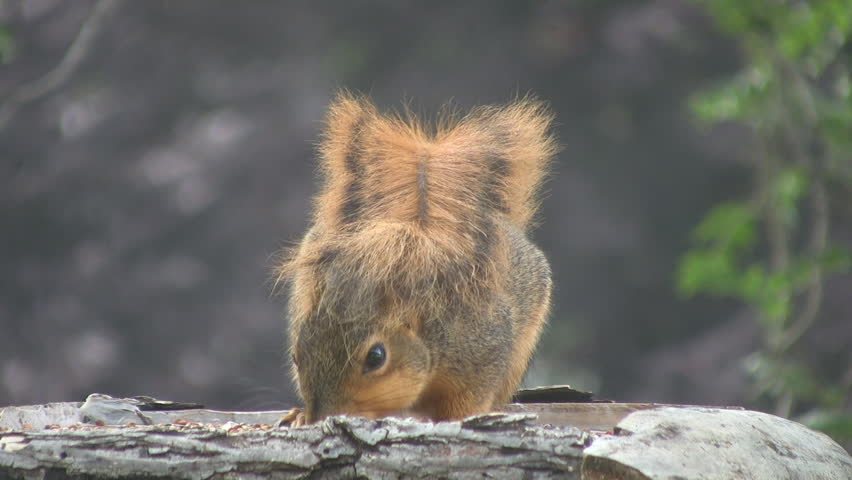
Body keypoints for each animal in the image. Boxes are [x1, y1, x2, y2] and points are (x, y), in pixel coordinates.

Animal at [276, 92, 557, 425]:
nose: (320, 417)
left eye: (376, 357)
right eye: (296, 355)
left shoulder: (481, 350)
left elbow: (466, 404)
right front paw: (300, 415)